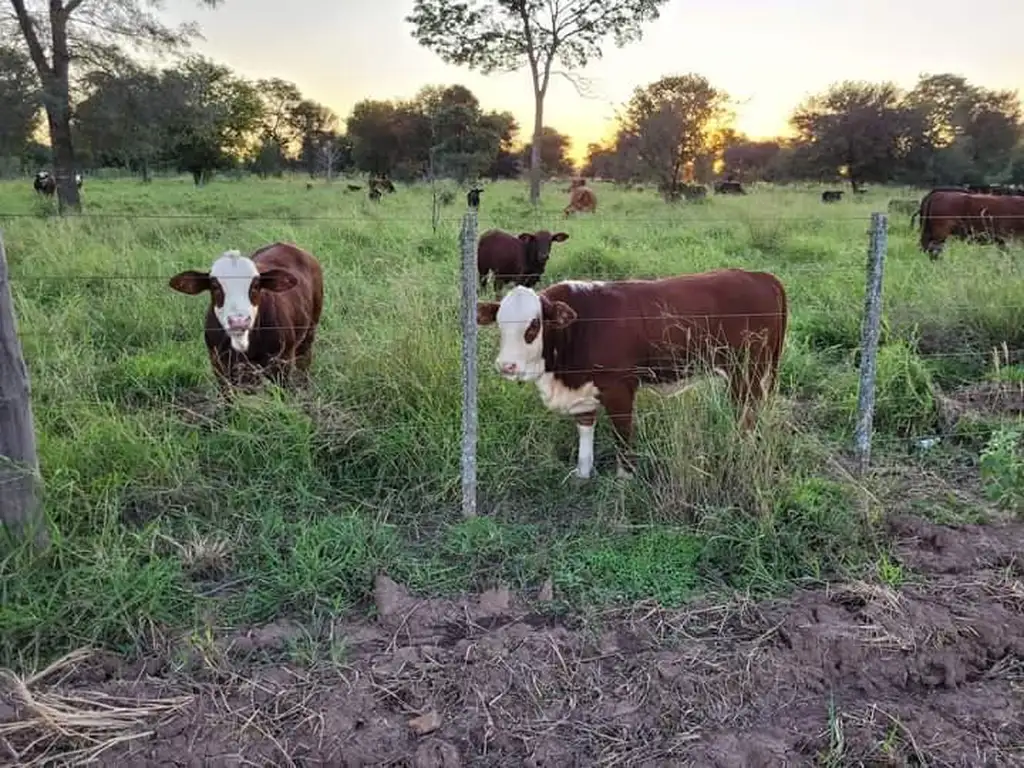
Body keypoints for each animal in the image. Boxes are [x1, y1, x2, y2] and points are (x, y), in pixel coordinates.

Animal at [166, 243, 323, 393]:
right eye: (215, 286)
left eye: (256, 285)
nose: (238, 322)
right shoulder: (219, 364)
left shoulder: (281, 361)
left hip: (310, 330)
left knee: (304, 362)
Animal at [475, 268, 786, 479]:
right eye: (499, 324)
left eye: (534, 325)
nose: (506, 365)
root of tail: (761, 276)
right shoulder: (583, 389)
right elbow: (585, 430)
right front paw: (582, 473)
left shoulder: (619, 388)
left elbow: (623, 433)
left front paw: (625, 476)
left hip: (746, 370)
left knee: (747, 412)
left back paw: (741, 451)